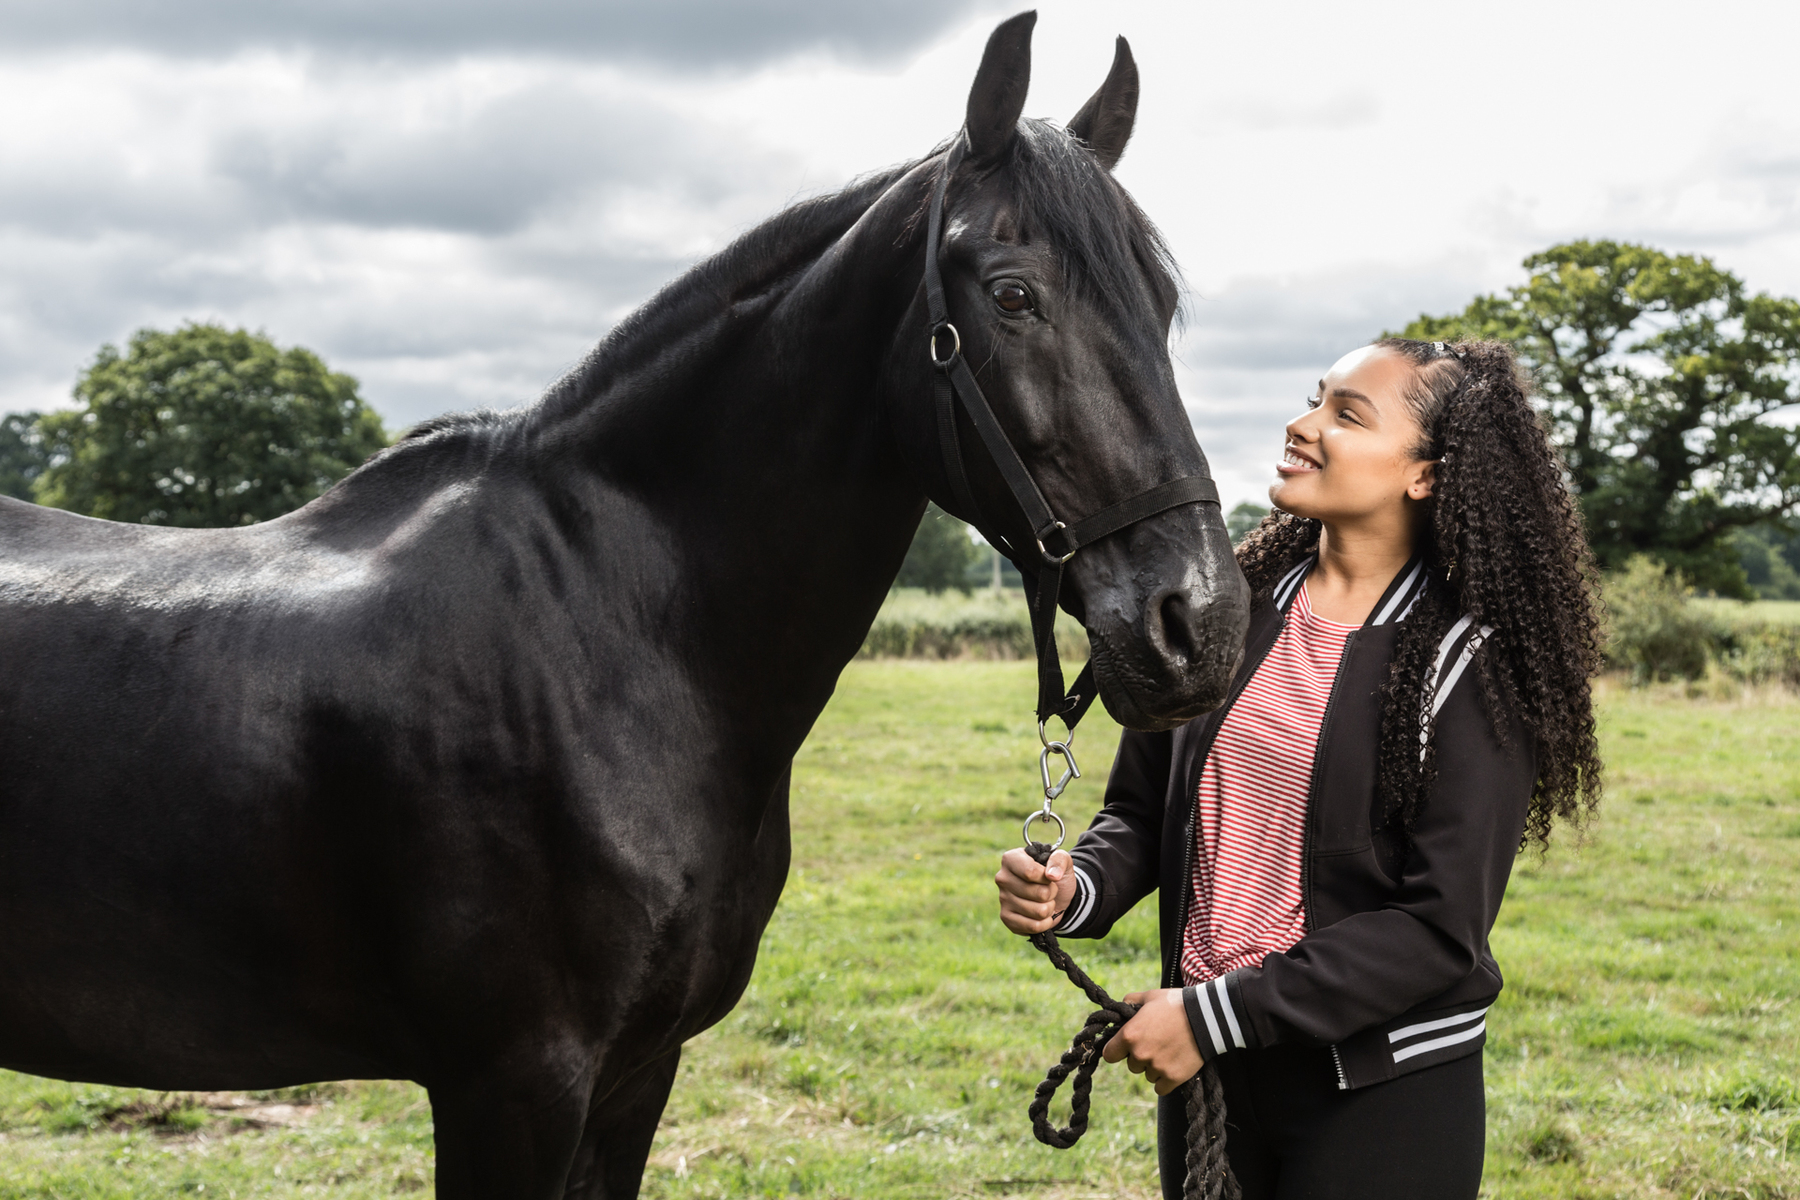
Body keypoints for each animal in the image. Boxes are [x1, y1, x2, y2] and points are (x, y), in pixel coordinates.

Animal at [0, 11, 1238, 1200]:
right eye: (1014, 295)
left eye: (1162, 300)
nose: (1201, 625)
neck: (608, 641)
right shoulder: (513, 1083)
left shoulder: (641, 1068)